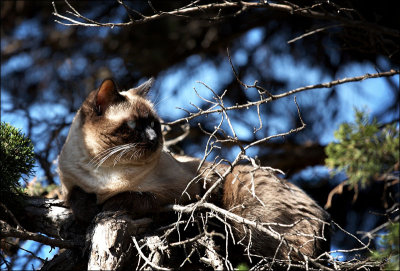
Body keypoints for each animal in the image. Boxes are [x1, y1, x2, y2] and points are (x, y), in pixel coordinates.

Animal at [57, 78, 332, 262]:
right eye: (134, 126)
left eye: (154, 125)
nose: (154, 139)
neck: (104, 172)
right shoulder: (72, 185)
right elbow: (76, 199)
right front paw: (86, 212)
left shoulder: (181, 191)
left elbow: (131, 197)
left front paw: (103, 209)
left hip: (242, 211)